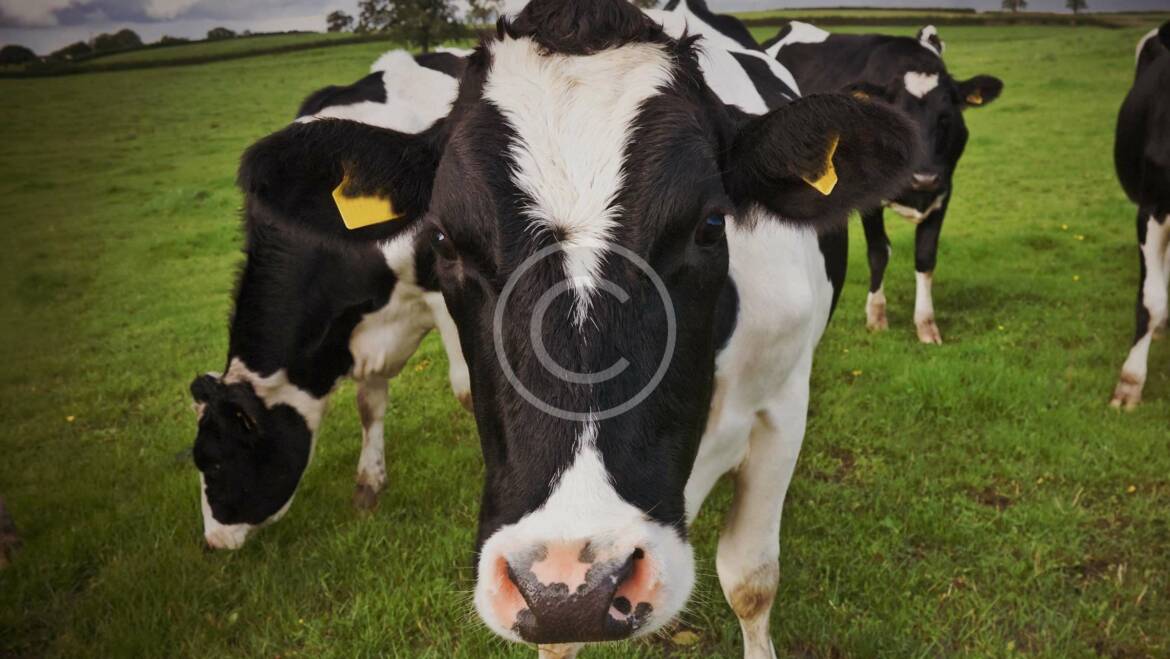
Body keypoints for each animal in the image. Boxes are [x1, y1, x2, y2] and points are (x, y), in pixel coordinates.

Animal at [191, 50, 473, 551]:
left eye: (217, 462)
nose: (213, 542)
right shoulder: (358, 330)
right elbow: (369, 404)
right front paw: (369, 484)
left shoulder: (445, 295)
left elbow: (469, 390)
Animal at [765, 21, 1003, 344]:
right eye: (897, 118)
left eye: (946, 117)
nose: (923, 176)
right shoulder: (870, 197)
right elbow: (879, 251)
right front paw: (876, 317)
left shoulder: (943, 191)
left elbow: (925, 257)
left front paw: (926, 325)